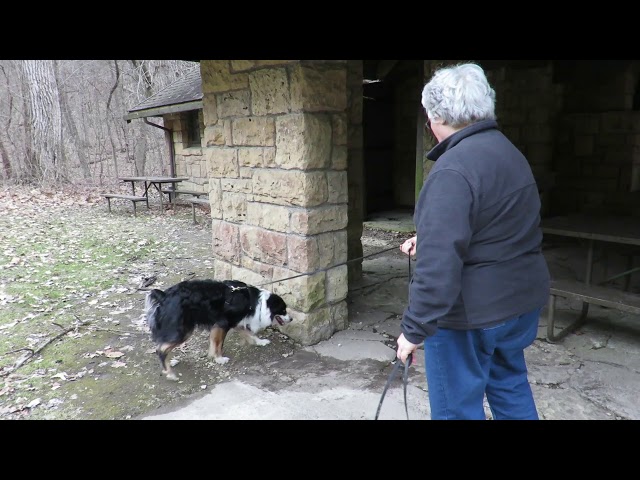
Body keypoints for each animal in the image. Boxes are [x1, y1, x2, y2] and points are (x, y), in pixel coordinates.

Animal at [144, 280, 292, 380]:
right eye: (283, 310)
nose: (291, 319)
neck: (257, 303)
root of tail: (164, 295)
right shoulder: (222, 324)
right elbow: (218, 344)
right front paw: (219, 359)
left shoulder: (236, 322)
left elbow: (249, 334)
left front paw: (260, 342)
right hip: (183, 330)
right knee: (161, 349)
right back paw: (169, 373)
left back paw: (170, 363)